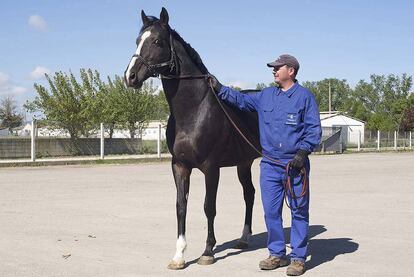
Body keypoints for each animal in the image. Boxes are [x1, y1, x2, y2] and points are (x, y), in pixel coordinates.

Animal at [125, 7, 262, 268]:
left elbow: (209, 207)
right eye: (137, 41)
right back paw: (243, 238)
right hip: (244, 163)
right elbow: (181, 206)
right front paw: (179, 256)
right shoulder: (179, 166)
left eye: (156, 41)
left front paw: (208, 252)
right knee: (249, 194)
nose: (130, 76)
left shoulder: (211, 167)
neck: (193, 111)